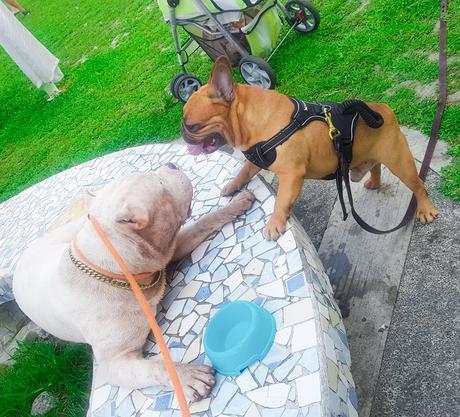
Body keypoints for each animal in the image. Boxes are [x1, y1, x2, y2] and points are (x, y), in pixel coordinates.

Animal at [12, 163, 255, 400]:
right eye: (160, 184)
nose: (171, 164)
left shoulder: (166, 249)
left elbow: (203, 223)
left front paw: (234, 205)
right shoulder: (115, 363)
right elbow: (158, 367)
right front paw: (188, 377)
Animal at [181, 56, 438, 237]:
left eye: (192, 125)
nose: (183, 133)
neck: (250, 121)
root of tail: (383, 109)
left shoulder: (291, 174)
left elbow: (281, 200)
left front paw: (274, 223)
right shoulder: (257, 158)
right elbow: (244, 171)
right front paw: (232, 186)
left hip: (399, 161)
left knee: (418, 185)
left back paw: (425, 209)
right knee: (375, 166)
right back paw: (374, 182)